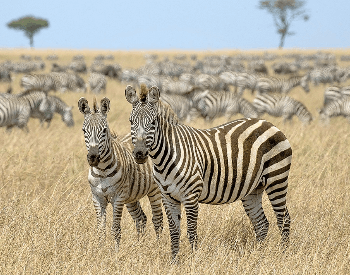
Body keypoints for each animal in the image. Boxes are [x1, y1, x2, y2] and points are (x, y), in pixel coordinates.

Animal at [78, 97, 163, 252]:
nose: (93, 158)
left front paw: (116, 253)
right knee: (141, 218)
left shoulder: (118, 198)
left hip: (154, 191)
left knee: (157, 219)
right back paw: (139, 246)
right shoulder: (97, 198)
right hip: (131, 197)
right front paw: (100, 251)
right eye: (84, 130)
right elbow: (101, 229)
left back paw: (158, 247)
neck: (102, 171)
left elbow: (115, 228)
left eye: (104, 130)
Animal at [126, 85, 292, 260]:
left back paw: (283, 254)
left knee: (283, 219)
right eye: (131, 122)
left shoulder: (191, 196)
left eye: (152, 123)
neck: (166, 156)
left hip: (277, 179)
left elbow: (191, 232)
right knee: (261, 224)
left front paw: (193, 260)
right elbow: (174, 232)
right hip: (253, 188)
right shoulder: (168, 197)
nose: (139, 154)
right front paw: (174, 261)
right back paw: (258, 255)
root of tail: (268, 123)